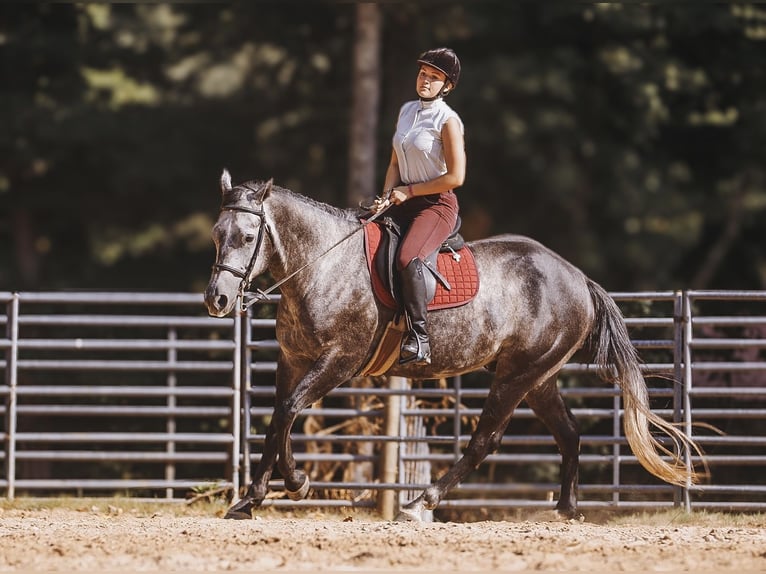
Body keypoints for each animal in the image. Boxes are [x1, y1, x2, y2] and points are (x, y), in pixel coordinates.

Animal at [202, 170, 704, 520]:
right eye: (217, 235)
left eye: (248, 237)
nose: (217, 299)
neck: (322, 264)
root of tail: (578, 277)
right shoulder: (294, 360)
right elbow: (279, 418)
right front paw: (272, 490)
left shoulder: (339, 362)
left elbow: (288, 412)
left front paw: (273, 490)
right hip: (538, 377)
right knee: (569, 434)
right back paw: (565, 509)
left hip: (517, 375)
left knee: (485, 440)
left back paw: (421, 502)